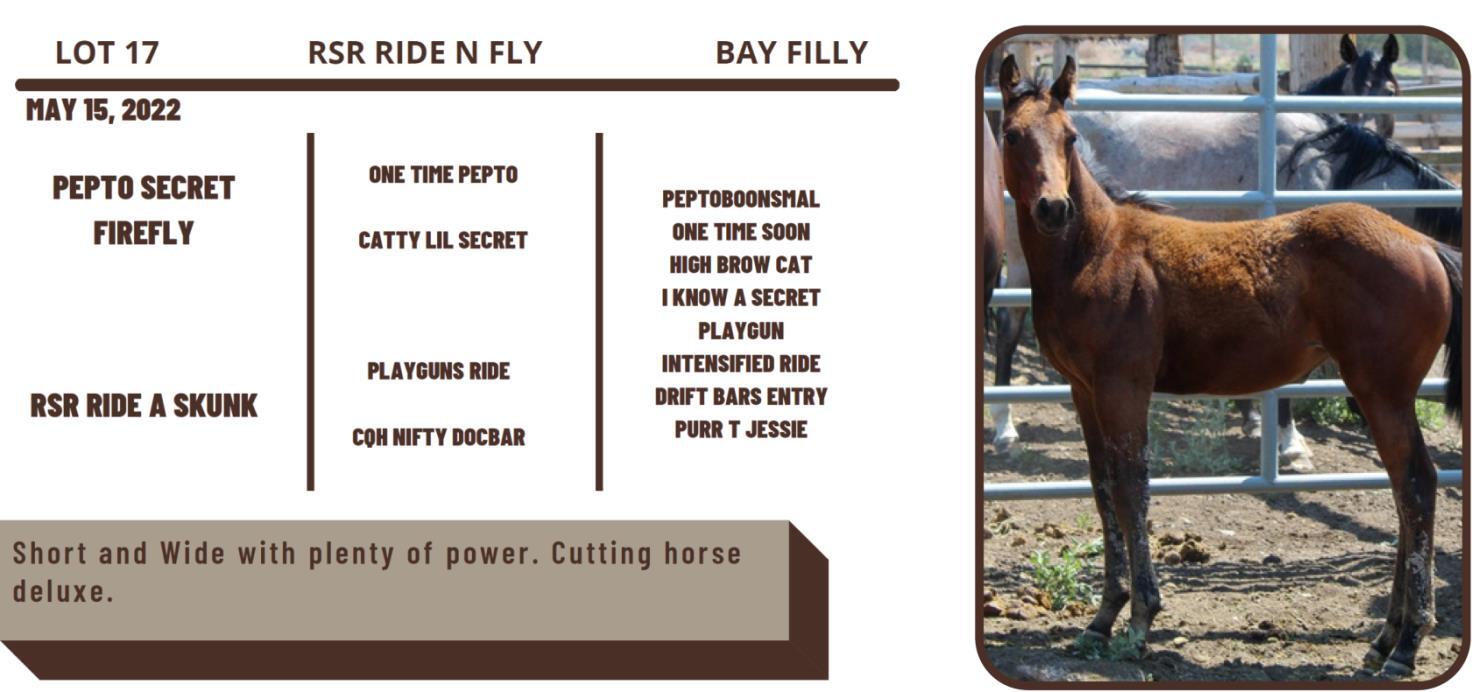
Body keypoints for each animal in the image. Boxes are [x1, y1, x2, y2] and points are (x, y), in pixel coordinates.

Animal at [996, 54, 1462, 677]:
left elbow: (1131, 488)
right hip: (1380, 393)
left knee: (1416, 485)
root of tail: (1425, 245)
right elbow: (1101, 487)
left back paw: (1407, 644)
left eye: (1070, 136)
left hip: (1382, 390)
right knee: (1405, 488)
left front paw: (1139, 622)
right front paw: (1101, 619)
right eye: (1011, 134)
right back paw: (1384, 640)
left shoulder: (1124, 387)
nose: (1053, 208)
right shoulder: (1083, 390)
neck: (1099, 250)